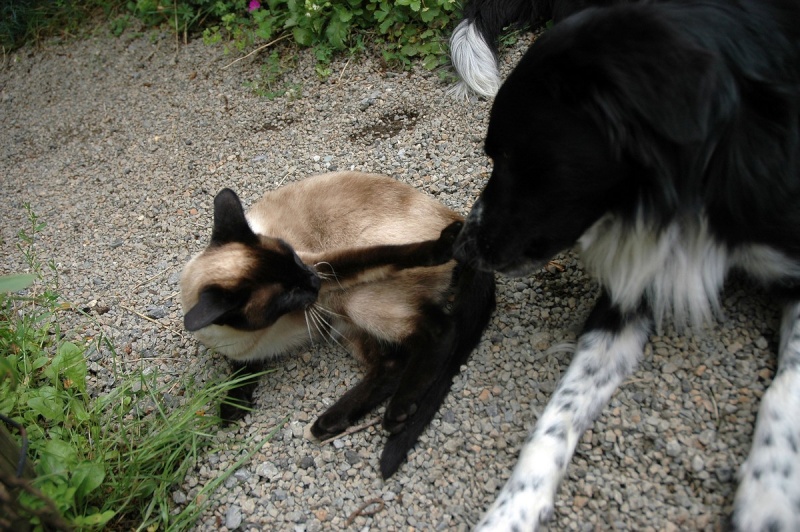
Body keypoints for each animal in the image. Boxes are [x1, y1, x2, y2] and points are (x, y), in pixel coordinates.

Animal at [180, 171, 494, 478]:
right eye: (288, 295)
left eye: (294, 258)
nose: (314, 281)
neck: (258, 336)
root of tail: (455, 214)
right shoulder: (248, 350)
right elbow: (240, 373)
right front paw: (232, 408)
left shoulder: (325, 269)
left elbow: (388, 255)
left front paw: (438, 247)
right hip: (343, 323)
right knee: (392, 364)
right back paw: (330, 423)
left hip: (349, 300)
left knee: (443, 330)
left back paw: (395, 413)